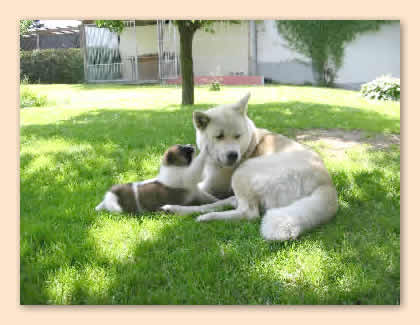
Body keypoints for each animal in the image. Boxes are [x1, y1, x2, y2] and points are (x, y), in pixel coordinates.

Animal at [162, 92, 340, 239]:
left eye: (237, 136)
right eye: (219, 136)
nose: (233, 155)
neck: (251, 142)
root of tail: (326, 185)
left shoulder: (210, 186)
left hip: (243, 172)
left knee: (249, 213)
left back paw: (208, 218)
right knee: (223, 204)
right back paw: (177, 209)